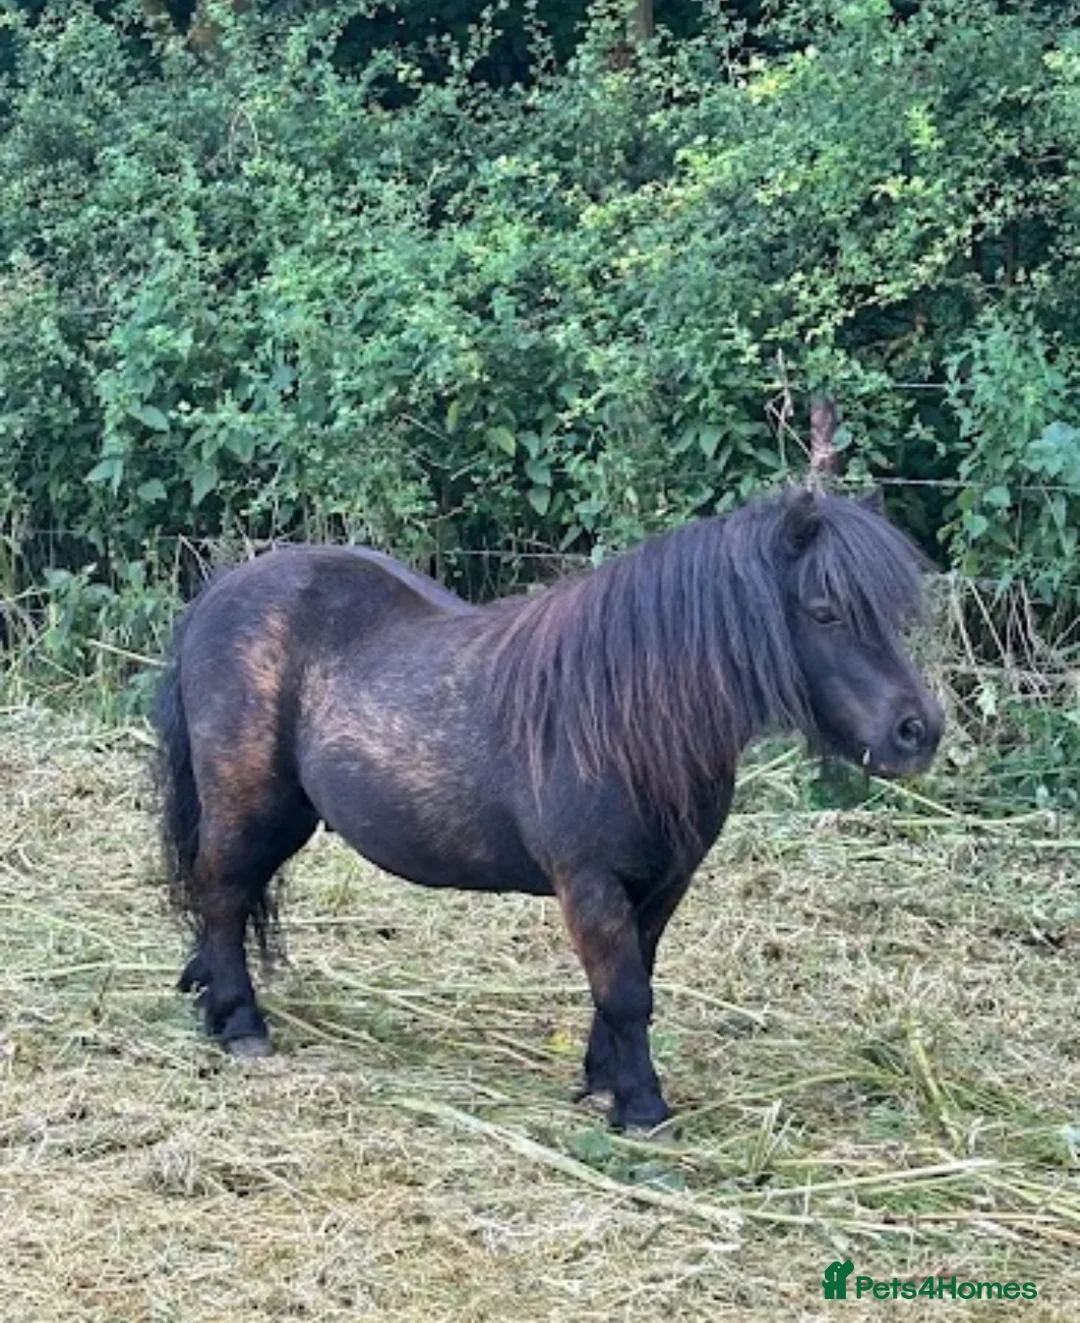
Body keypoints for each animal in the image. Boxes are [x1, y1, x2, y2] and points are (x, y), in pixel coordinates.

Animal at [153, 485, 943, 1128]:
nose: (918, 731)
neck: (625, 717)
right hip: (248, 803)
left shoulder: (661, 885)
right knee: (221, 889)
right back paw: (240, 1022)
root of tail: (219, 594)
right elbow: (625, 992)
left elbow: (628, 982)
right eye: (825, 611)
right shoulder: (589, 882)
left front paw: (603, 1083)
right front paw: (643, 1107)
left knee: (228, 893)